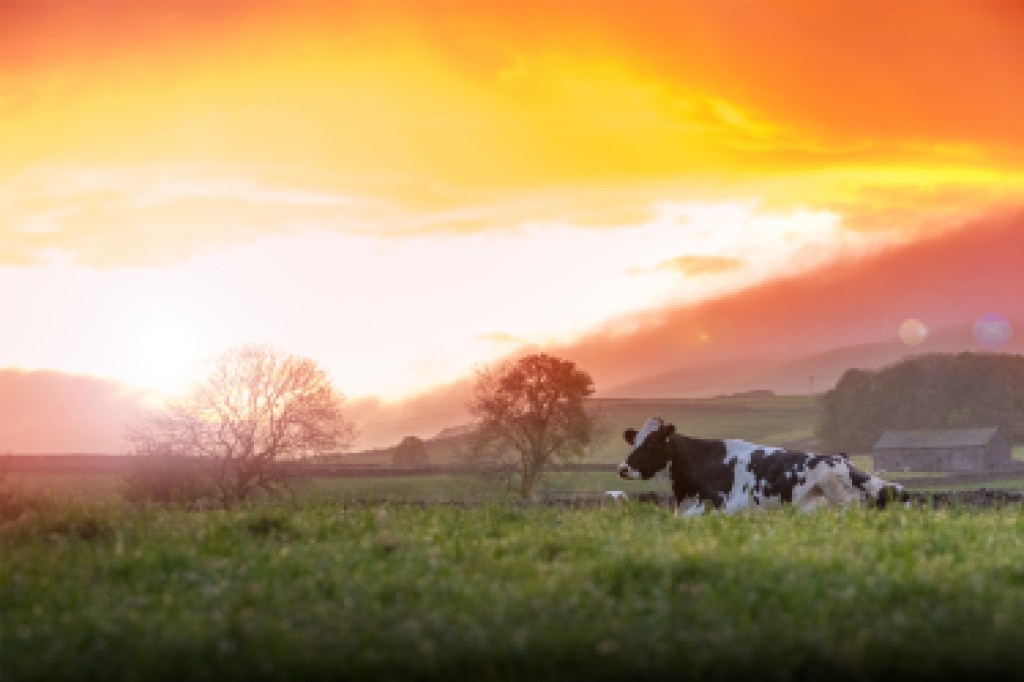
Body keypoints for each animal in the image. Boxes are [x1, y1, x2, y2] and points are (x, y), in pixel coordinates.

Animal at [618, 413, 909, 516]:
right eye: (635, 442)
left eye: (652, 444)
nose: (622, 468)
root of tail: (842, 460)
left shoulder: (728, 506)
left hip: (837, 493)